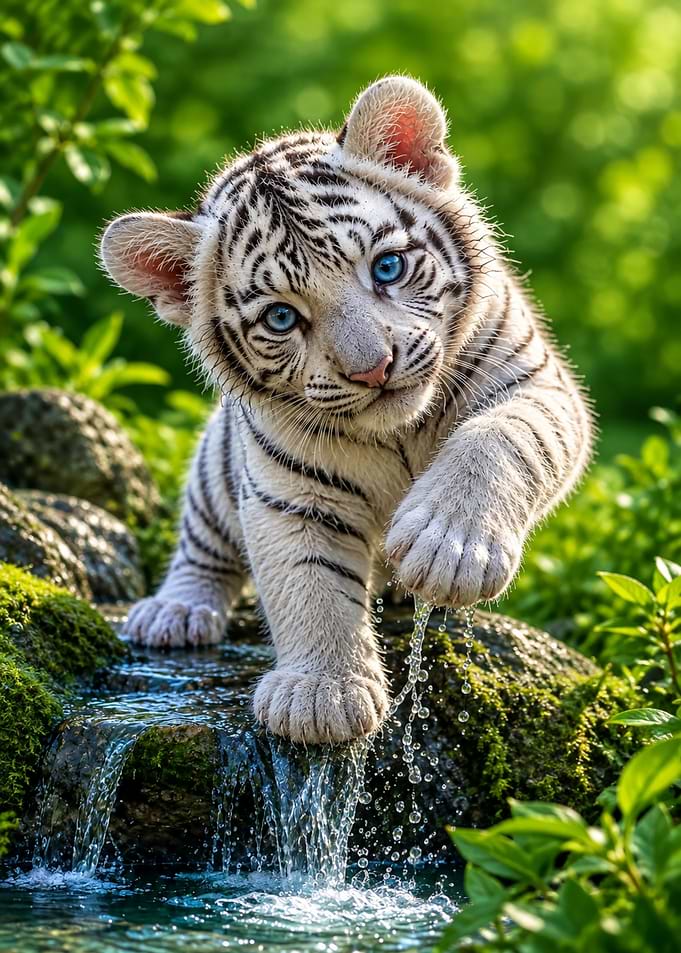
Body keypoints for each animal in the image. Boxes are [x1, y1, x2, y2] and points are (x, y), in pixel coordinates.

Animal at [100, 76, 593, 745]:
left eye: (387, 266)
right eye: (282, 317)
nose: (373, 368)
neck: (401, 430)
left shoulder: (535, 385)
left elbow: (495, 440)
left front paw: (449, 550)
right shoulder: (287, 489)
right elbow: (310, 583)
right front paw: (321, 696)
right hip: (213, 470)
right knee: (202, 549)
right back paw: (174, 612)